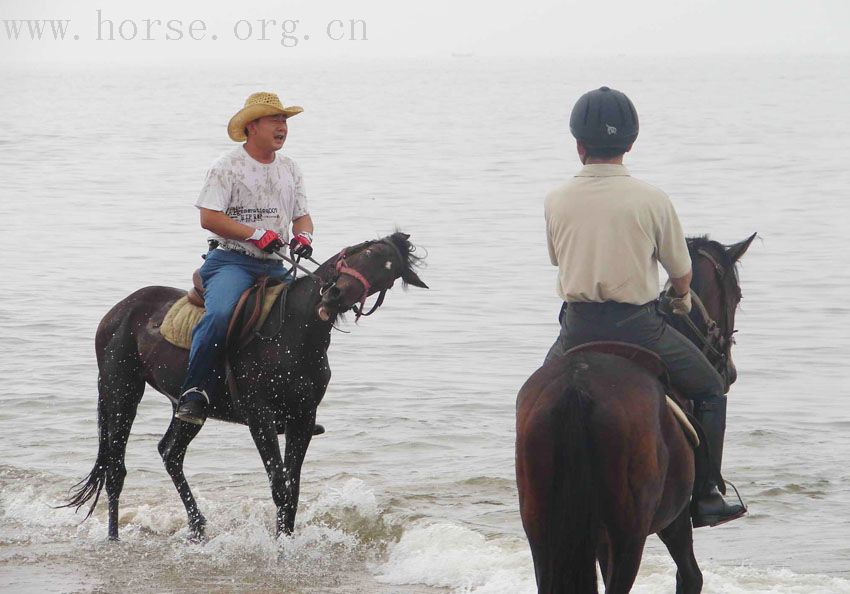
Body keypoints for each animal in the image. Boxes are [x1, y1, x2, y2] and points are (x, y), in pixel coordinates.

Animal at [64, 231, 424, 536]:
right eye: (368, 253)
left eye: (387, 277)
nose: (335, 296)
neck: (296, 329)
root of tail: (119, 310)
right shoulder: (259, 415)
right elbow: (279, 485)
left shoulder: (302, 418)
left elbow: (292, 487)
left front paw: (287, 540)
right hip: (121, 390)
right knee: (116, 467)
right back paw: (114, 537)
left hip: (186, 407)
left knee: (170, 453)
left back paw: (197, 527)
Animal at [512, 235, 752, 592]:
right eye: (736, 296)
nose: (730, 372)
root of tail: (577, 384)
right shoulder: (675, 522)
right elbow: (690, 576)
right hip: (628, 532)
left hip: (542, 528)